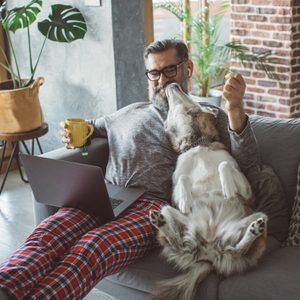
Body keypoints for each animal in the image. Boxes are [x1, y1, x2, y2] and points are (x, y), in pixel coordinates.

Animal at [149, 82, 268, 300]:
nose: (172, 84)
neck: (198, 144)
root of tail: (209, 255)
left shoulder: (248, 191)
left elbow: (224, 165)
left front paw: (228, 188)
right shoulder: (173, 192)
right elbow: (183, 179)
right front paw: (186, 200)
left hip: (260, 217)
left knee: (239, 249)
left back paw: (253, 231)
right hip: (167, 209)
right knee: (178, 242)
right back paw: (161, 223)